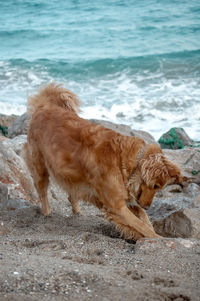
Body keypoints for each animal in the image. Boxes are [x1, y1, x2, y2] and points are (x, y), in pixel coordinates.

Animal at [22, 83, 182, 240]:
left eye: (159, 188)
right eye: (155, 186)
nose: (148, 207)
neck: (122, 160)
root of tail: (43, 108)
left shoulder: (124, 200)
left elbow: (143, 218)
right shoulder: (116, 206)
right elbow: (141, 225)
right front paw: (159, 239)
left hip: (68, 173)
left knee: (71, 194)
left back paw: (77, 212)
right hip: (40, 168)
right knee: (42, 193)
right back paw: (47, 214)